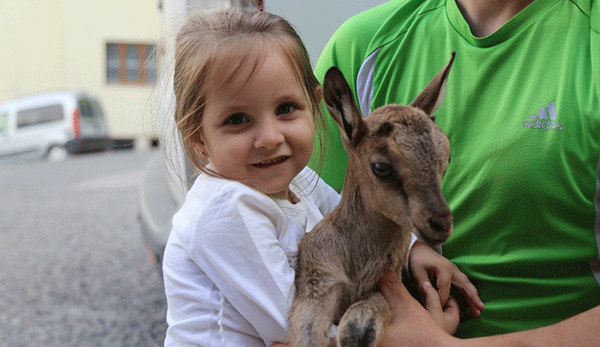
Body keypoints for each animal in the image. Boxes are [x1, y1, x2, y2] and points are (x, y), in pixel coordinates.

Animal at [290, 52, 454, 347]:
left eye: (446, 159)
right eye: (381, 167)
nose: (441, 223)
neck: (357, 262)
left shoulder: (384, 286)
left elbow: (364, 320)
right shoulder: (318, 279)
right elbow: (307, 332)